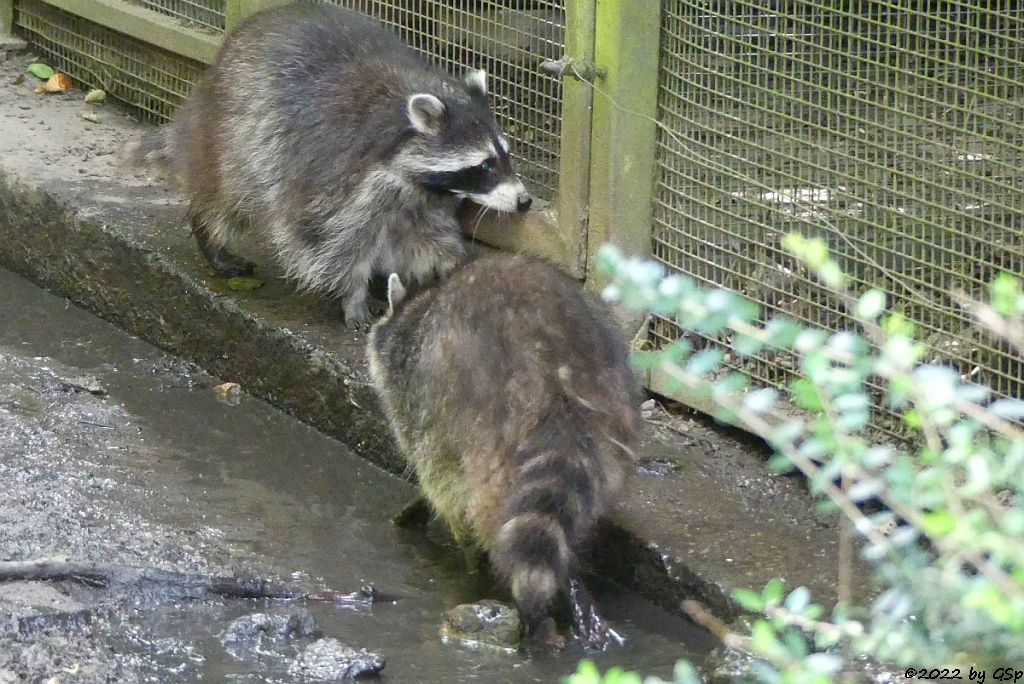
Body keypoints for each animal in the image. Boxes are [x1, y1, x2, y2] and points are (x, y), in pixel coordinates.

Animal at [123, 2, 532, 325]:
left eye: (506, 155)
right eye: (484, 165)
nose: (525, 201)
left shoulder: (420, 195)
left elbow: (424, 236)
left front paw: (454, 263)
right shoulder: (335, 173)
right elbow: (330, 242)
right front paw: (352, 295)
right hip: (238, 137)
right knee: (229, 197)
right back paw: (210, 236)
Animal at [368, 252, 638, 647]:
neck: (418, 309)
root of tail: (556, 372)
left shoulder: (417, 405)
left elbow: (439, 480)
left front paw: (457, 538)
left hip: (474, 413)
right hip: (614, 413)